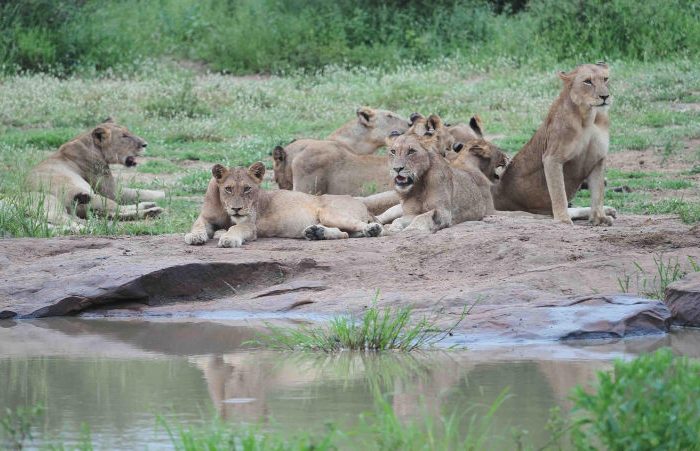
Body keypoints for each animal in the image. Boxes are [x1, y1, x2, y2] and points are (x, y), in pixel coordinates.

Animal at [28, 118, 165, 230]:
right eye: (124, 136)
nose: (145, 144)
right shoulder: (112, 191)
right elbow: (141, 192)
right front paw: (164, 194)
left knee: (113, 213)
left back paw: (151, 209)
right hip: (91, 197)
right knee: (117, 210)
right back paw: (153, 210)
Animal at [185, 162, 382, 247]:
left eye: (247, 189)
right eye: (228, 188)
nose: (237, 209)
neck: (226, 211)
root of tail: (362, 203)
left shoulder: (249, 225)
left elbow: (236, 228)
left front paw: (228, 239)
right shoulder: (205, 217)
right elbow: (197, 225)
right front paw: (194, 237)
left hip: (330, 213)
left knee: (360, 228)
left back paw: (372, 229)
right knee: (345, 233)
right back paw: (315, 233)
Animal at [490, 63, 616, 226]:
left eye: (605, 79)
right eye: (588, 81)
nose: (605, 97)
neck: (589, 116)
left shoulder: (598, 158)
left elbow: (598, 192)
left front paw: (599, 218)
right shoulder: (552, 158)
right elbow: (558, 192)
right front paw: (563, 220)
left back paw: (609, 210)